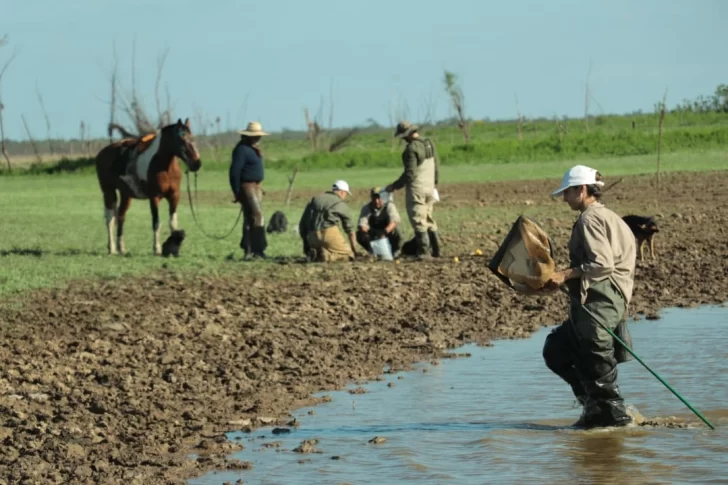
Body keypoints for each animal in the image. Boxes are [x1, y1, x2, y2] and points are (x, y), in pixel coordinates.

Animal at [95, 118, 202, 253]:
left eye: (192, 137)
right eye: (181, 138)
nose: (197, 163)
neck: (164, 167)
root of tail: (102, 153)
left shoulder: (174, 196)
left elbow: (173, 223)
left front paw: (173, 247)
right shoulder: (154, 198)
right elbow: (156, 223)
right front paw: (157, 248)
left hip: (126, 195)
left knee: (120, 216)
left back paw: (121, 248)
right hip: (108, 191)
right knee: (110, 219)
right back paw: (112, 249)